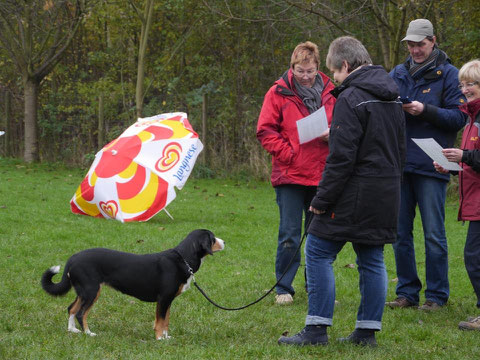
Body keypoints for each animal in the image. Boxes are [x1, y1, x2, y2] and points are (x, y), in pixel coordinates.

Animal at [40, 229, 224, 338]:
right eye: (213, 238)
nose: (225, 242)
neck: (183, 258)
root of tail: (73, 257)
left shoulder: (168, 300)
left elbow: (166, 320)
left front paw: (166, 337)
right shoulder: (163, 298)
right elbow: (160, 321)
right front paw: (160, 339)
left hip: (83, 291)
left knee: (71, 309)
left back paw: (72, 330)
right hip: (92, 291)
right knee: (80, 313)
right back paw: (89, 333)